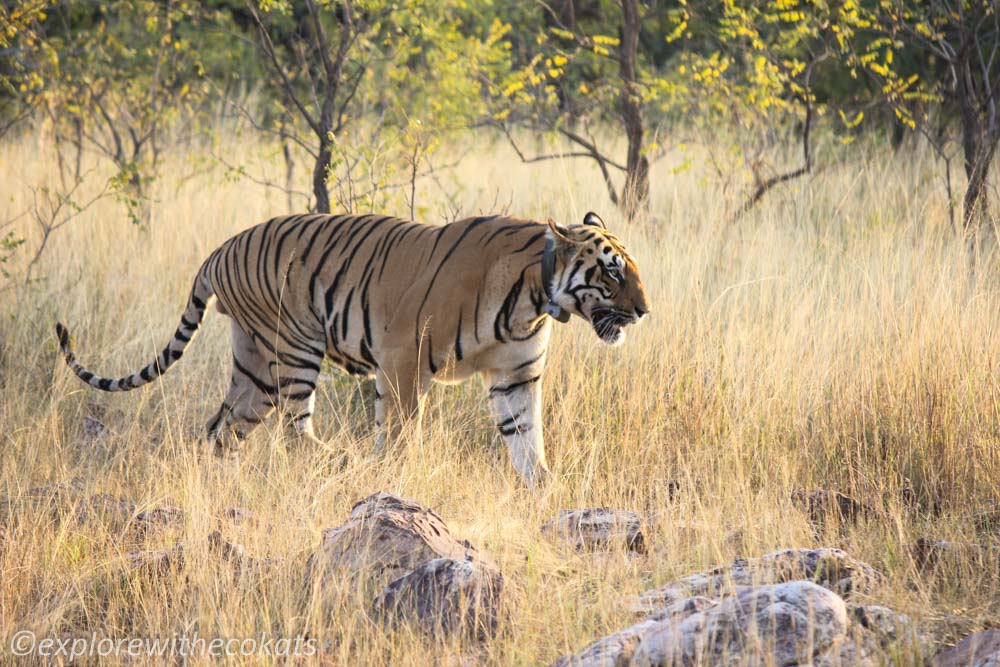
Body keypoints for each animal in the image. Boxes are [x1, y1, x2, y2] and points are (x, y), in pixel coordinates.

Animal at [52, 211, 648, 488]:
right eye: (612, 273)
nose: (644, 311)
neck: (536, 299)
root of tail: (218, 249)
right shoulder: (405, 358)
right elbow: (402, 433)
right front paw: (394, 476)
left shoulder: (515, 377)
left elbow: (526, 441)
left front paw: (544, 489)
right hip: (294, 345)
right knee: (294, 432)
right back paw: (341, 460)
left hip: (254, 368)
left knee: (221, 428)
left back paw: (220, 480)